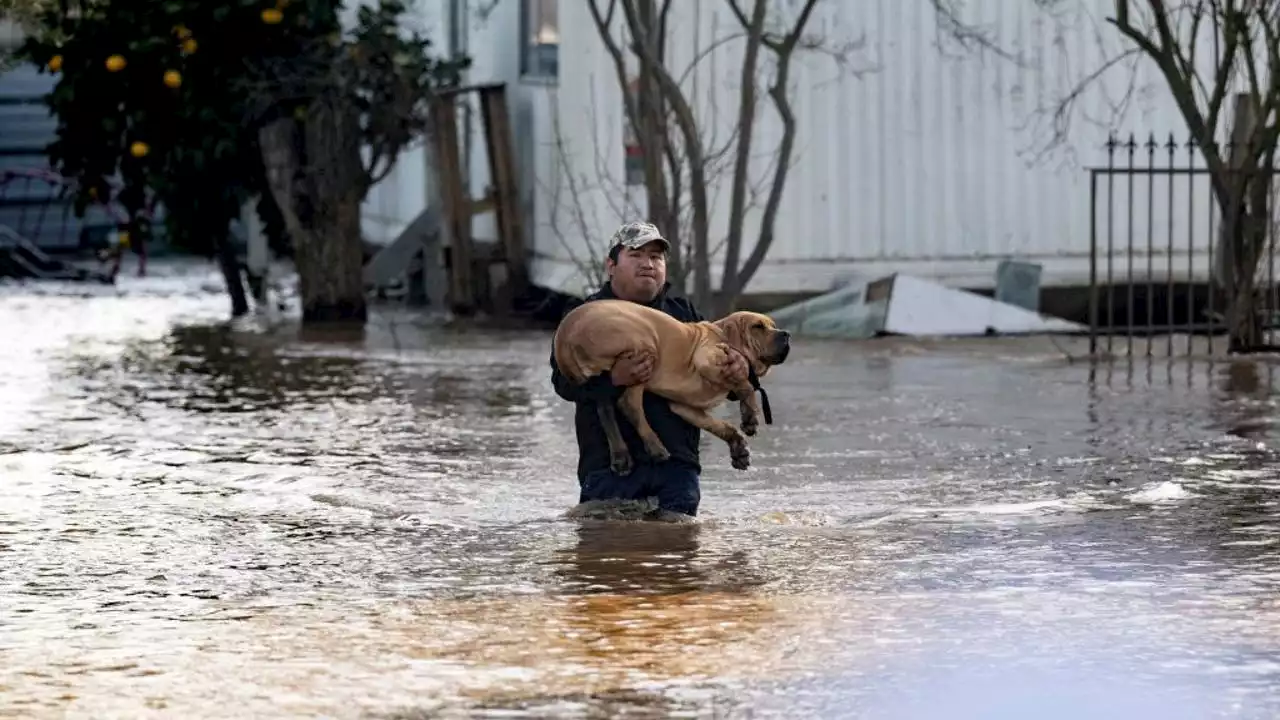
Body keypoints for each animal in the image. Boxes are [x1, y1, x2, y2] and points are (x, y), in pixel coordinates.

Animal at [552, 297, 788, 471]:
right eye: (757, 326)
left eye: (773, 326)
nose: (786, 334)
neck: (721, 334)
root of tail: (564, 333)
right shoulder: (707, 358)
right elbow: (744, 384)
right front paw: (750, 418)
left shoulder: (684, 407)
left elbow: (721, 425)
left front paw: (738, 449)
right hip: (644, 348)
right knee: (629, 404)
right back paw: (656, 448)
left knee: (606, 410)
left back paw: (621, 456)